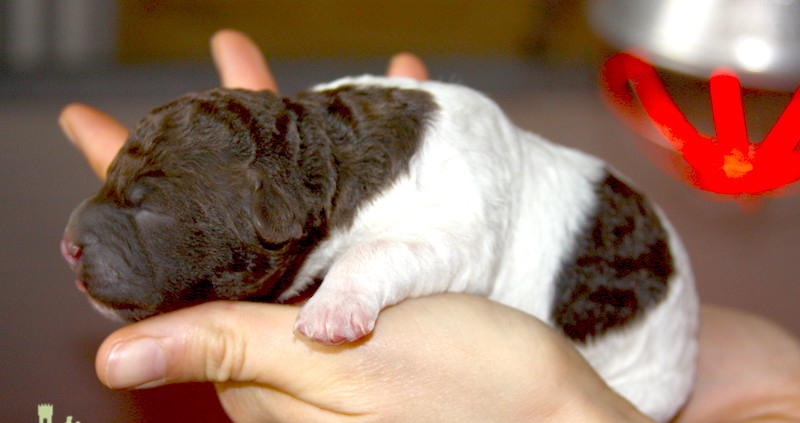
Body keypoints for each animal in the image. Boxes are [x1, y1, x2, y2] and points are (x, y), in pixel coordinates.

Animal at [59, 28, 800, 422]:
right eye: (110, 179)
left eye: (150, 203)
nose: (67, 245)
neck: (328, 151)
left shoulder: (453, 232)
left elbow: (379, 254)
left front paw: (334, 309)